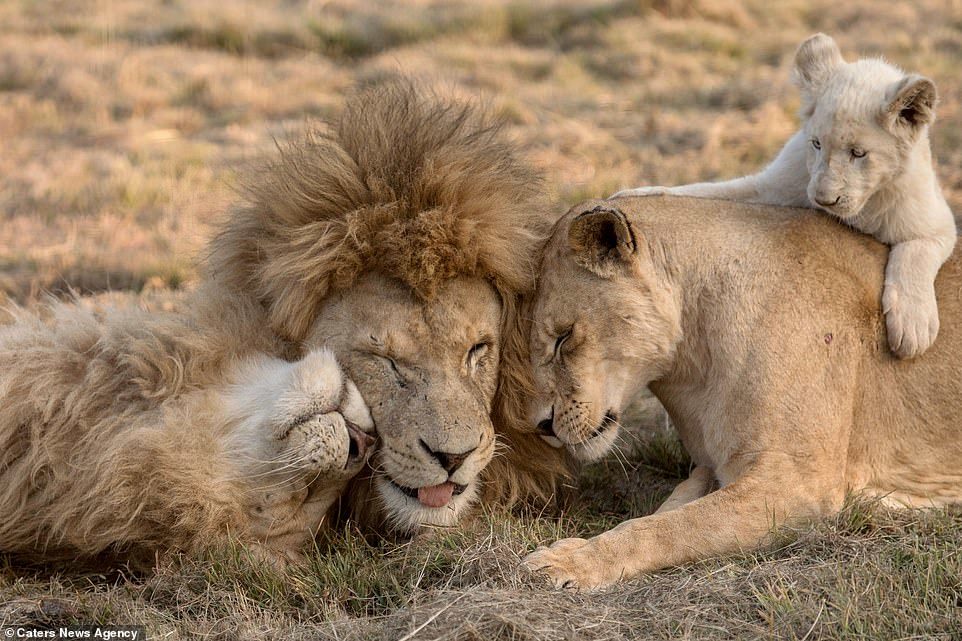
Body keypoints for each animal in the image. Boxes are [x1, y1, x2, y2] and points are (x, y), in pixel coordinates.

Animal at [524, 196, 960, 592]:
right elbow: (668, 510)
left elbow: (673, 527)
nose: (541, 424)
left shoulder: (800, 484)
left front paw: (572, 562)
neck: (690, 363)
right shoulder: (710, 467)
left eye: (563, 338)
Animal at [616, 33, 952, 360]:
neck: (866, 206)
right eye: (816, 144)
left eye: (858, 153)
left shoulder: (937, 223)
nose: (823, 200)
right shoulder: (772, 188)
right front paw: (635, 194)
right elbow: (705, 191)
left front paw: (913, 329)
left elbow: (915, 254)